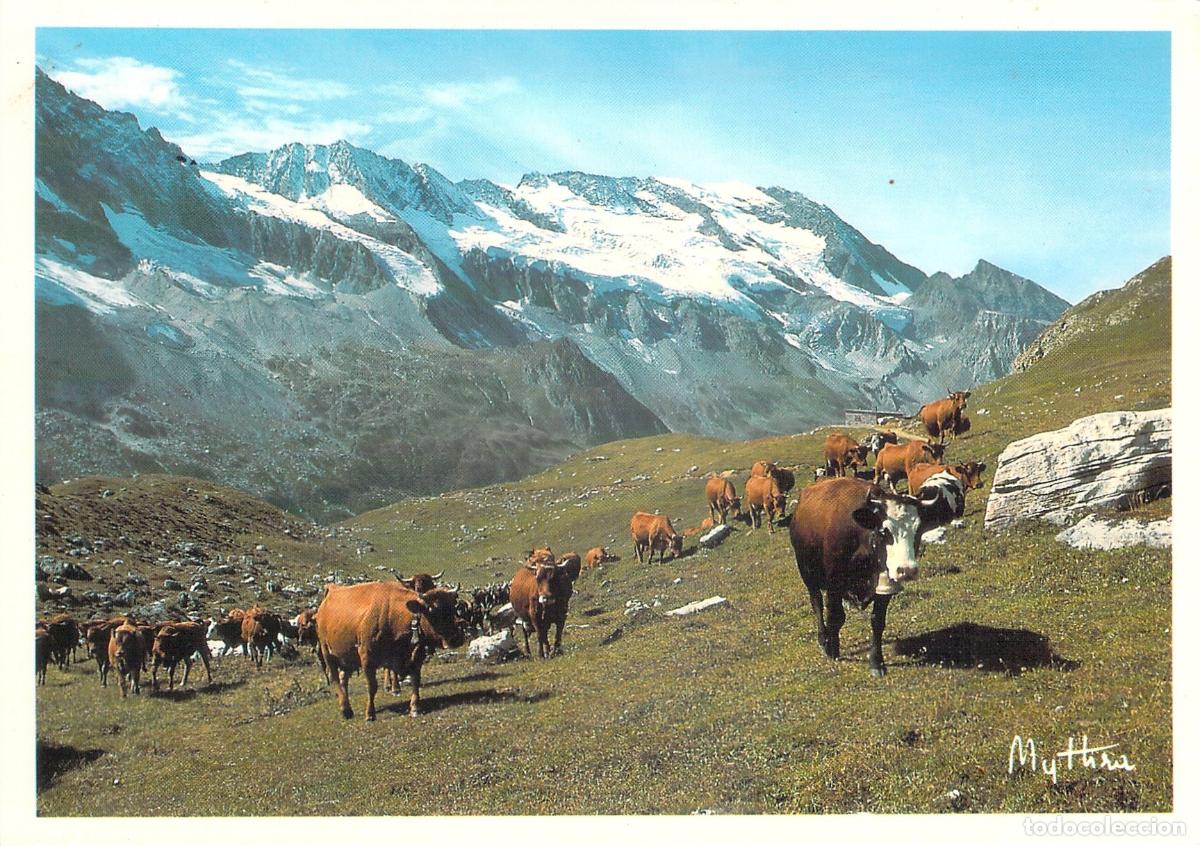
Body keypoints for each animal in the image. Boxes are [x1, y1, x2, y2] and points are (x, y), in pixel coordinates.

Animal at [315, 580, 465, 721]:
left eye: (453, 608)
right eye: (432, 611)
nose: (456, 639)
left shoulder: (417, 656)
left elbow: (416, 680)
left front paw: (415, 708)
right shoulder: (366, 657)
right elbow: (372, 686)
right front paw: (370, 714)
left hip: (347, 657)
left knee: (343, 679)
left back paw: (347, 707)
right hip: (327, 652)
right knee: (335, 678)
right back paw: (345, 710)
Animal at [789, 477, 934, 677]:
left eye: (918, 530)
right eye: (884, 531)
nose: (907, 570)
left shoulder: (885, 588)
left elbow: (877, 621)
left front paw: (876, 662)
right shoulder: (834, 584)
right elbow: (835, 618)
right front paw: (832, 649)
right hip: (807, 574)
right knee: (816, 603)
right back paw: (823, 638)